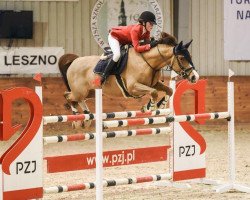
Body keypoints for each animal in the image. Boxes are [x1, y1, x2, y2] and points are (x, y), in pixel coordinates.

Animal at [58, 31, 199, 127]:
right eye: (182, 58)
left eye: (190, 56)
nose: (195, 77)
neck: (148, 62)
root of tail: (74, 61)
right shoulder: (133, 87)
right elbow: (153, 92)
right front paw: (150, 107)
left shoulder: (154, 83)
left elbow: (168, 90)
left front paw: (159, 105)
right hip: (80, 91)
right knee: (68, 96)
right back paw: (77, 119)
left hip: (91, 92)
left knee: (77, 99)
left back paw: (86, 118)